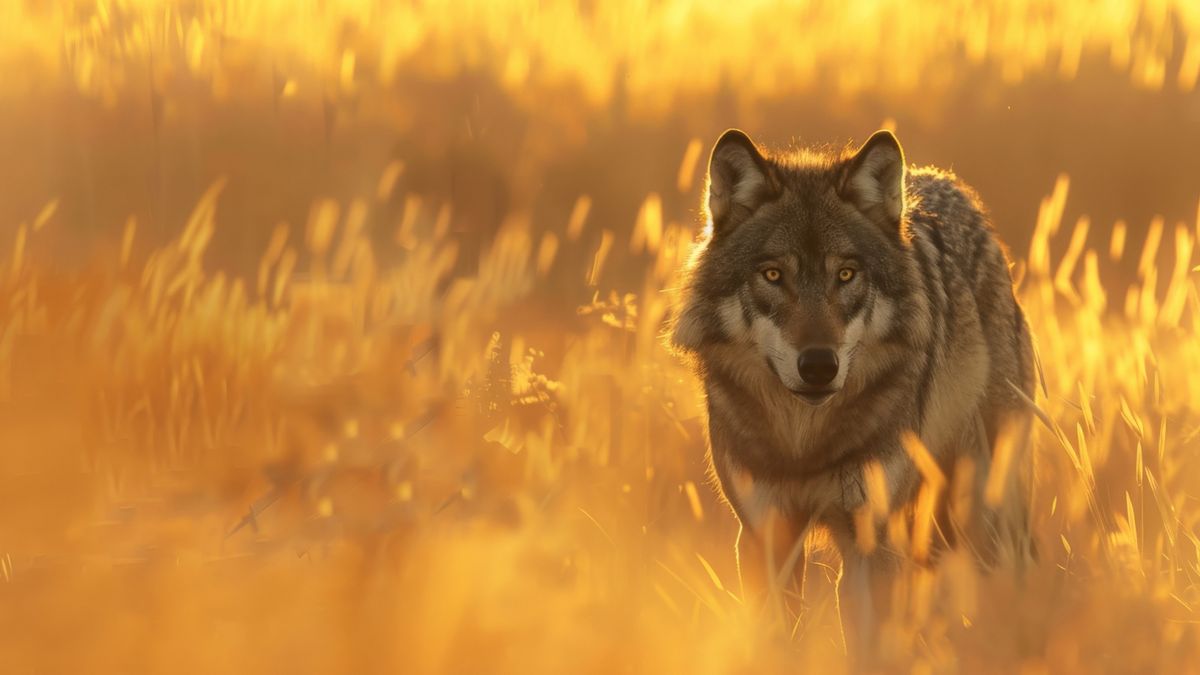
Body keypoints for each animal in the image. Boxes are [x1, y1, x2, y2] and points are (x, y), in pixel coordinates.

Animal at [669, 128, 1036, 654]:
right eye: (773, 275)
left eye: (846, 274)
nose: (819, 366)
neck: (804, 445)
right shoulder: (767, 537)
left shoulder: (868, 541)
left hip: (983, 509)